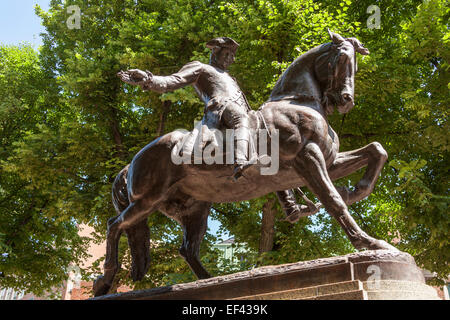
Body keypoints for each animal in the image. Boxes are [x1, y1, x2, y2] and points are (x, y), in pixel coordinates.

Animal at [92, 30, 398, 298]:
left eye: (354, 62)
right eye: (340, 59)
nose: (345, 101)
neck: (298, 104)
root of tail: (130, 163)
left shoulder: (328, 161)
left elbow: (377, 150)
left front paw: (355, 190)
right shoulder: (309, 158)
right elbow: (334, 201)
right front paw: (369, 242)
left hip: (194, 208)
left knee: (187, 249)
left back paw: (211, 281)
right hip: (147, 200)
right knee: (114, 225)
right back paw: (104, 280)